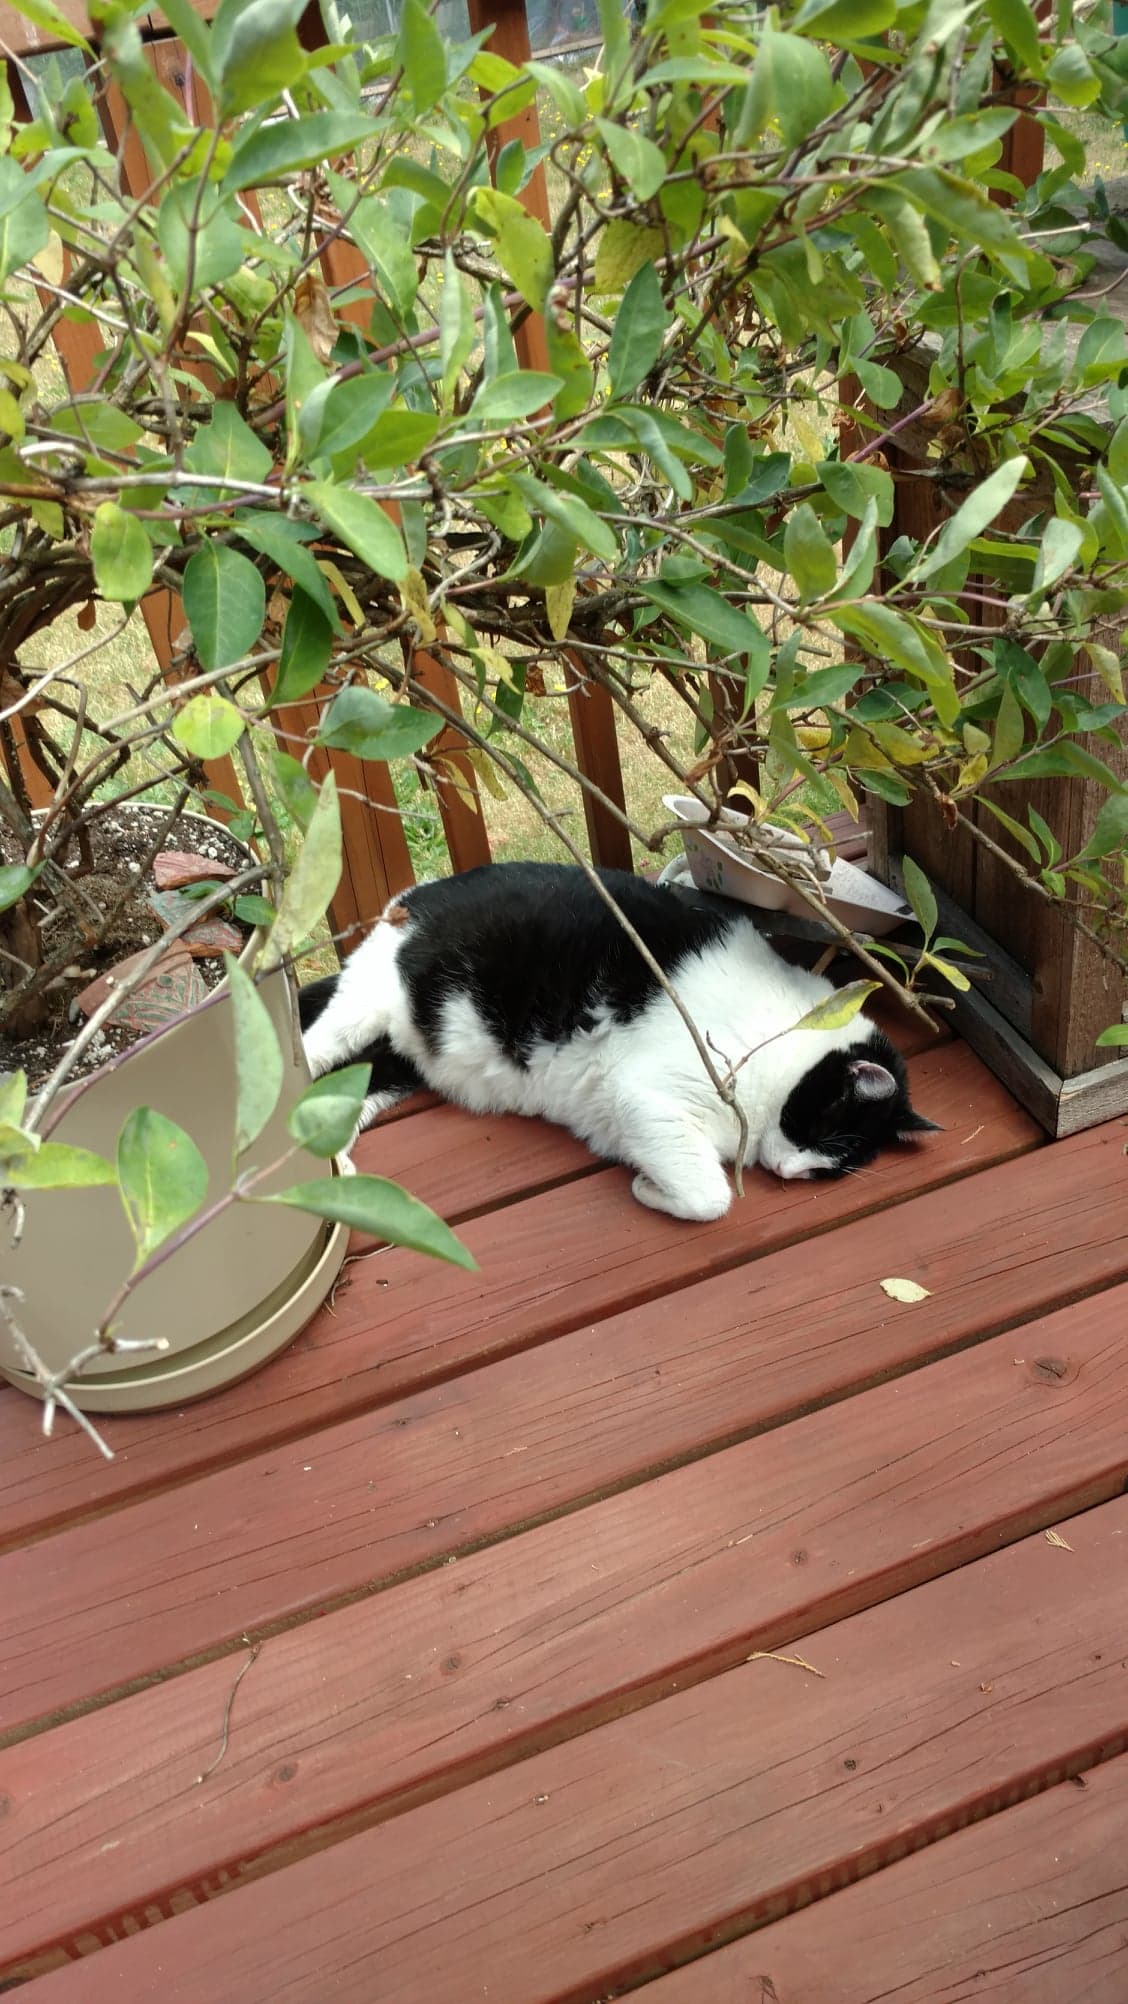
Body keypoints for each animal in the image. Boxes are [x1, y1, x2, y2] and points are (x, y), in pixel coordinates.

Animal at [298, 861, 937, 1218]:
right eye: (825, 1135)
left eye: (829, 1168)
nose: (788, 1172)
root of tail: (413, 896)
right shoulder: (645, 1097)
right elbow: (712, 1198)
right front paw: (649, 1189)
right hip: (362, 1008)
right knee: (305, 1057)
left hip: (397, 1064)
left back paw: (338, 1176)